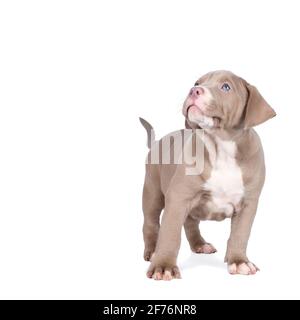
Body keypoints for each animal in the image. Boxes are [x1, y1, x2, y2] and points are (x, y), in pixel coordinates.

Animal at [141, 70, 276, 280]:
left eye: (226, 87)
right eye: (197, 82)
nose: (193, 90)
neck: (221, 147)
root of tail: (158, 142)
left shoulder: (248, 204)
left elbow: (240, 234)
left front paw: (239, 262)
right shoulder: (178, 197)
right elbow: (170, 233)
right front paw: (163, 266)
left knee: (190, 223)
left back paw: (200, 244)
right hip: (152, 192)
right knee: (151, 223)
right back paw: (153, 251)